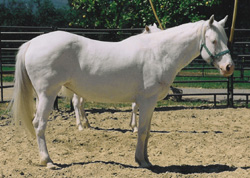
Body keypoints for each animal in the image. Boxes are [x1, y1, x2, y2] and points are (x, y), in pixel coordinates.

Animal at [10, 15, 234, 168]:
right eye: (214, 41)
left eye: (226, 39)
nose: (229, 67)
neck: (159, 52)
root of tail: (33, 42)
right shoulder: (147, 101)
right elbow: (141, 131)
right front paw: (141, 161)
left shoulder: (150, 103)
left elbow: (147, 131)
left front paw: (147, 159)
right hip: (47, 94)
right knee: (39, 124)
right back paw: (47, 161)